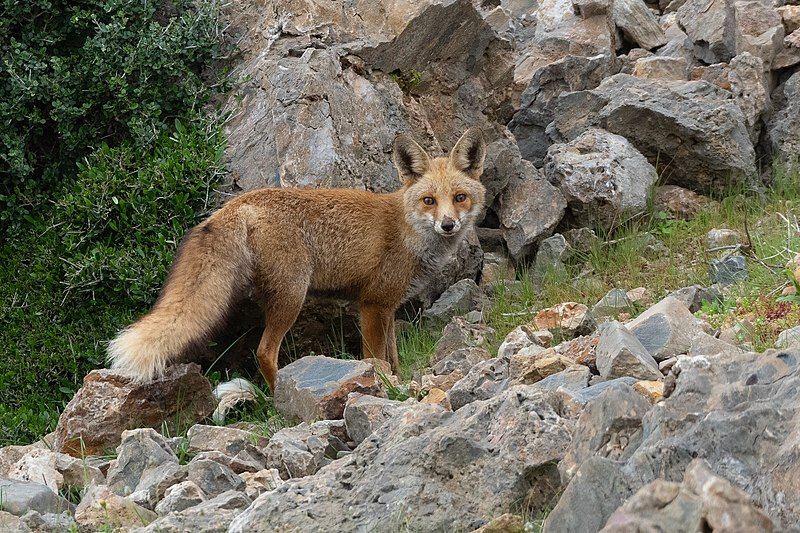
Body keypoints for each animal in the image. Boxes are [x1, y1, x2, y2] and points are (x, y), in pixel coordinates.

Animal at [107, 127, 488, 388]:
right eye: (429, 201)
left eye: (459, 197)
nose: (448, 225)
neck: (410, 232)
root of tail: (238, 204)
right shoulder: (373, 304)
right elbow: (375, 358)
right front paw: (383, 387)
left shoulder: (387, 307)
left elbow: (393, 359)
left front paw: (398, 382)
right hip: (292, 296)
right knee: (264, 352)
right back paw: (281, 397)